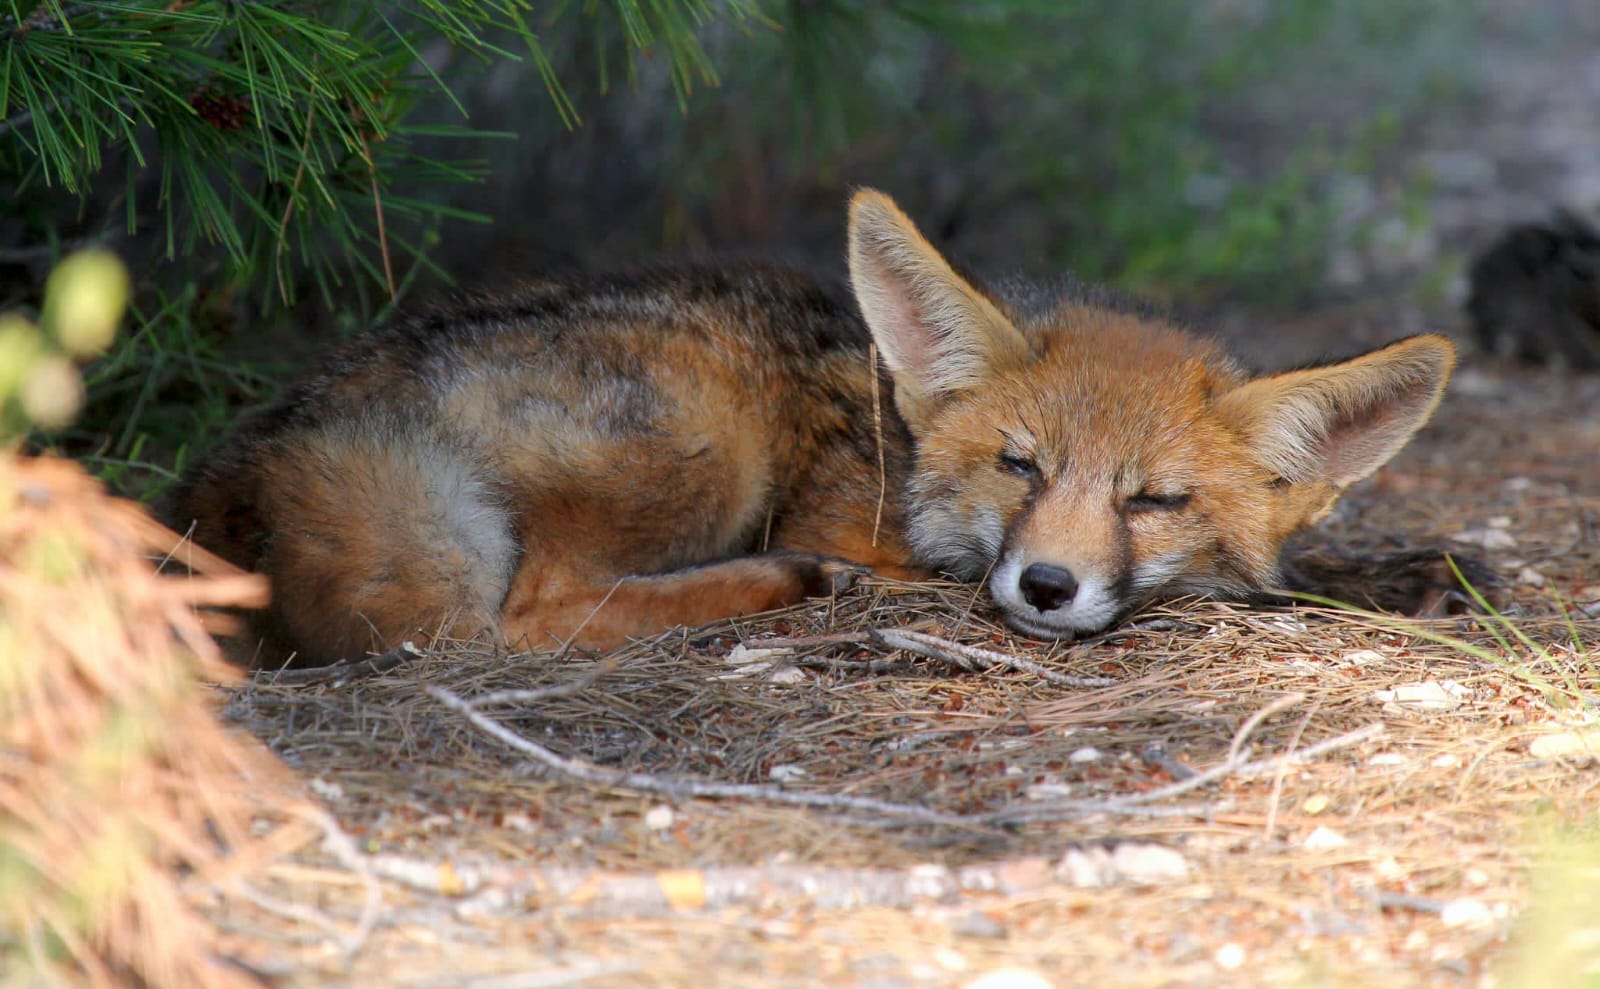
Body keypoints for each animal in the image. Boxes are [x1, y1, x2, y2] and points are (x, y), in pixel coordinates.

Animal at [168, 186, 1459, 662]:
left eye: (1154, 498)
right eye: (1018, 465)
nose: (1044, 586)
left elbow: (1311, 575)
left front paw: (1413, 575)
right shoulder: (852, 517)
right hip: (706, 435)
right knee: (520, 615)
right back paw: (783, 583)